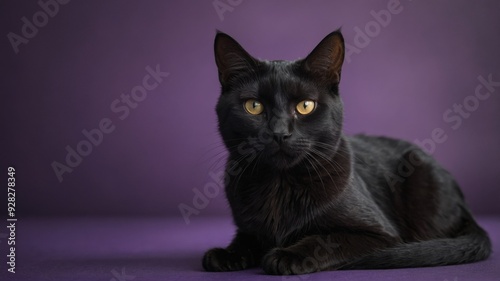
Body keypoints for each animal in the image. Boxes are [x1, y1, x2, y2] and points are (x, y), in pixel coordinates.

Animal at [201, 29, 490, 274]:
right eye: (254, 106)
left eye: (305, 106)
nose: (280, 132)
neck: (279, 185)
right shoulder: (247, 227)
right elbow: (246, 238)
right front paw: (226, 254)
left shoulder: (380, 234)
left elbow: (325, 239)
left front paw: (286, 255)